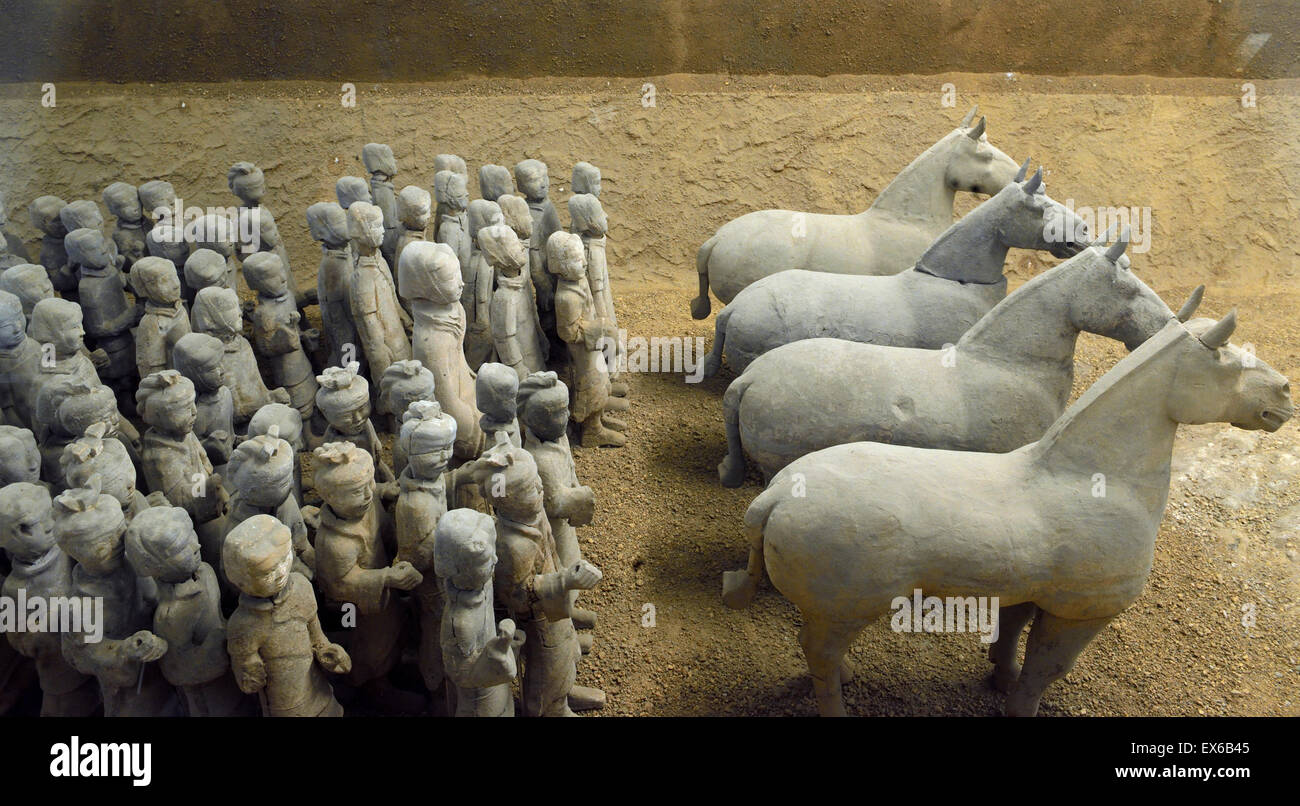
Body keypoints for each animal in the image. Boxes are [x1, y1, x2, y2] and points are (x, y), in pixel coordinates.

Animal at [722, 312, 1289, 712]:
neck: (1094, 480)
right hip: (847, 607)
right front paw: (1018, 701)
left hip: (832, 606)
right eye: (1230, 365)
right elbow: (1044, 672)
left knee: (817, 647)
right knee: (817, 651)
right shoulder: (1081, 613)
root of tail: (774, 497)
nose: (1285, 394)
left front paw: (1000, 677)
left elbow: (1011, 634)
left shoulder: (1029, 589)